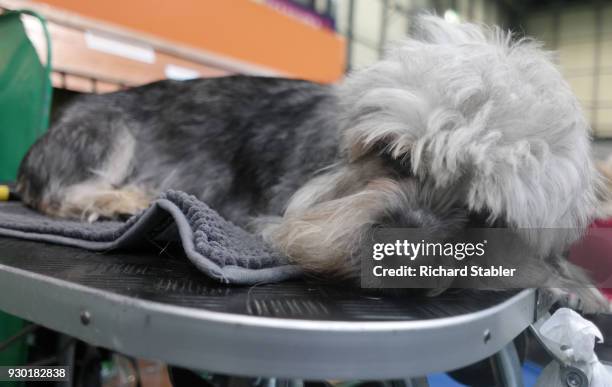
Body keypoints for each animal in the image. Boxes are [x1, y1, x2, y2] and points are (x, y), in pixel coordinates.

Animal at [15, 16, 608, 310]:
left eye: (486, 217)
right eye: (393, 155)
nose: (397, 254)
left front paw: (573, 285)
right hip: (105, 132)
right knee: (58, 192)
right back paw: (117, 201)